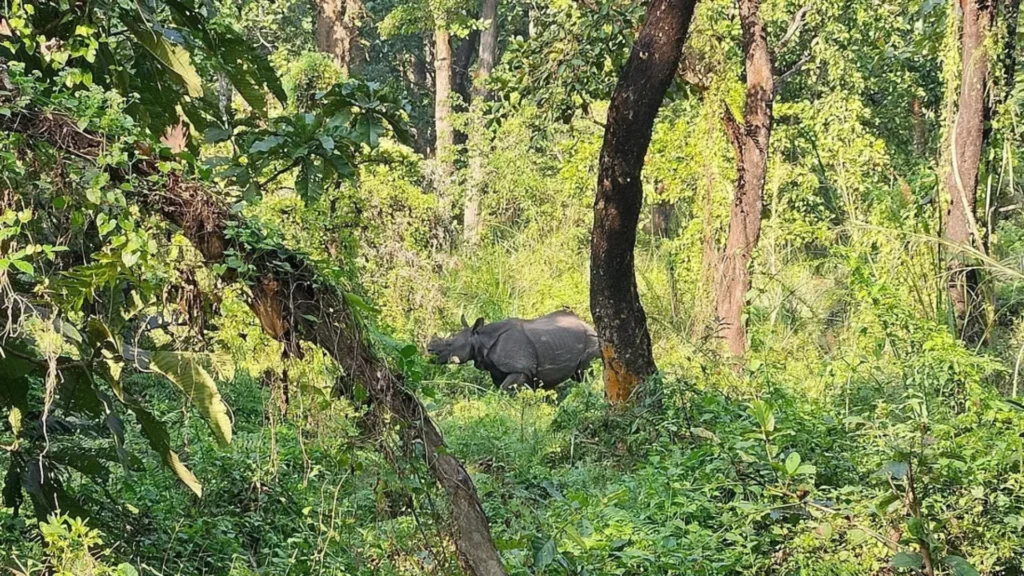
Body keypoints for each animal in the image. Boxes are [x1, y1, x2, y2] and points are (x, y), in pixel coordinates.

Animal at [427, 310, 601, 390]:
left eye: (449, 344)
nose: (428, 349)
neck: (480, 339)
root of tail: (588, 325)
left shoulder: (521, 369)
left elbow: (504, 390)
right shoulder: (497, 370)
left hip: (591, 340)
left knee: (586, 373)